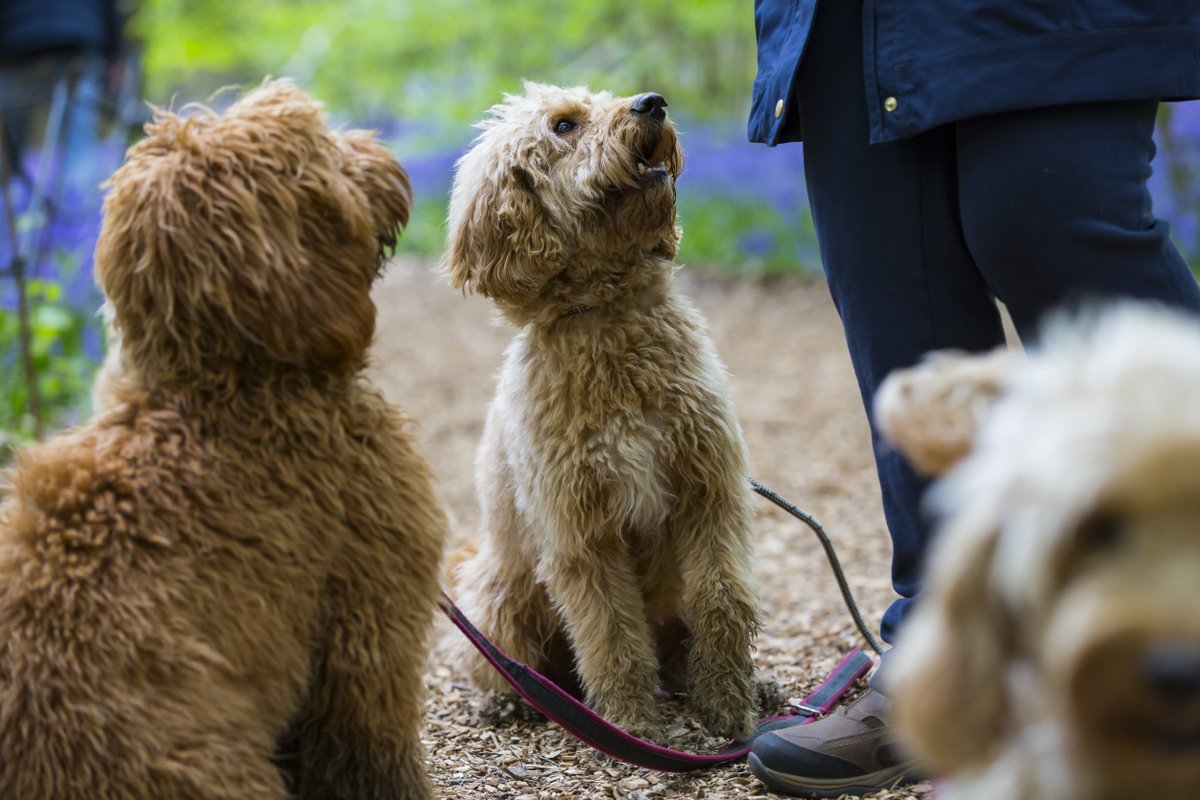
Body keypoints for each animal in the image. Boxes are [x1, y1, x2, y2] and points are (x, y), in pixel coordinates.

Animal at [444, 84, 768, 743]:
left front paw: (729, 704)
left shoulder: (709, 491)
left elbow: (723, 599)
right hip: (497, 594)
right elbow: (612, 634)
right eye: (564, 126)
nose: (653, 102)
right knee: (503, 660)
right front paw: (631, 724)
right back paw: (509, 703)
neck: (608, 316)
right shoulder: (581, 534)